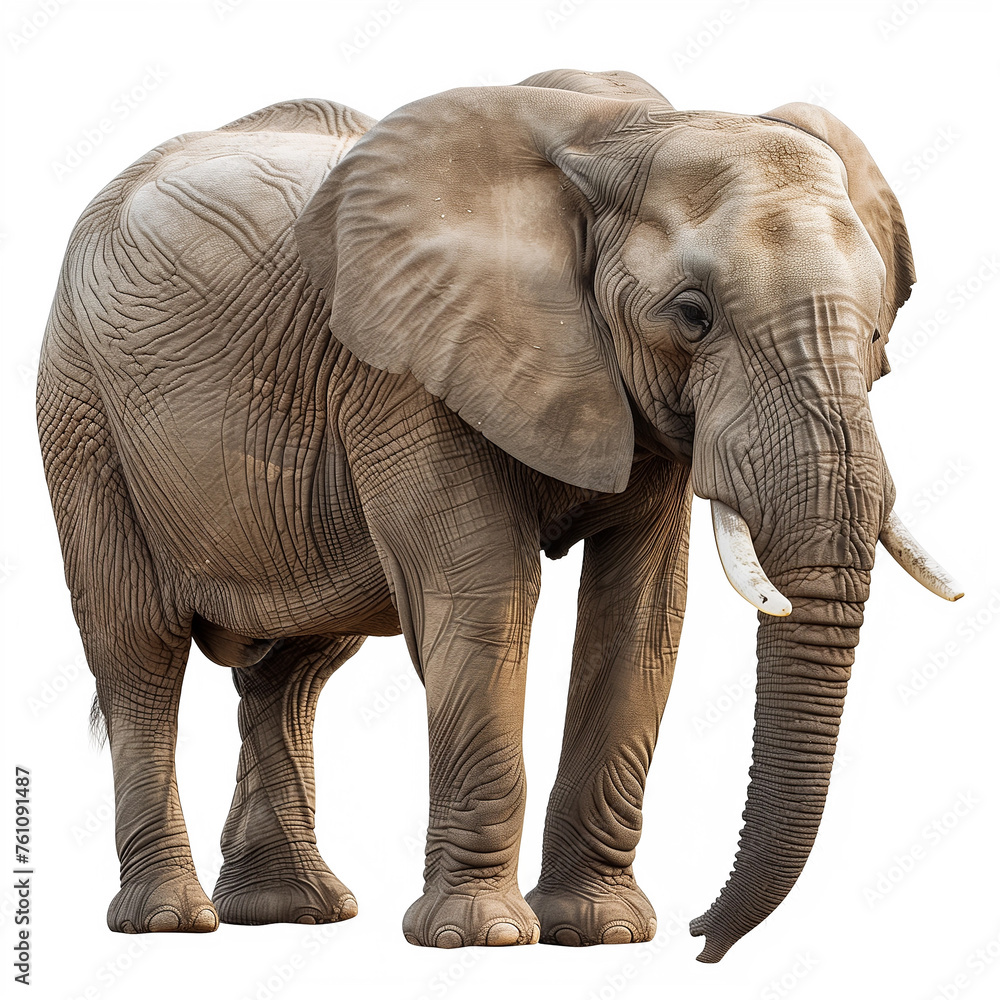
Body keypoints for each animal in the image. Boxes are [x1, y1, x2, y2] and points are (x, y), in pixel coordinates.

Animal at [36, 67, 962, 961]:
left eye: (876, 334)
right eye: (693, 314)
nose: (703, 938)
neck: (620, 131)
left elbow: (641, 622)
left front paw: (601, 933)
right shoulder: (409, 367)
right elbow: (483, 599)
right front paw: (481, 938)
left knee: (293, 668)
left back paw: (291, 912)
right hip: (80, 410)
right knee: (138, 650)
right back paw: (170, 920)